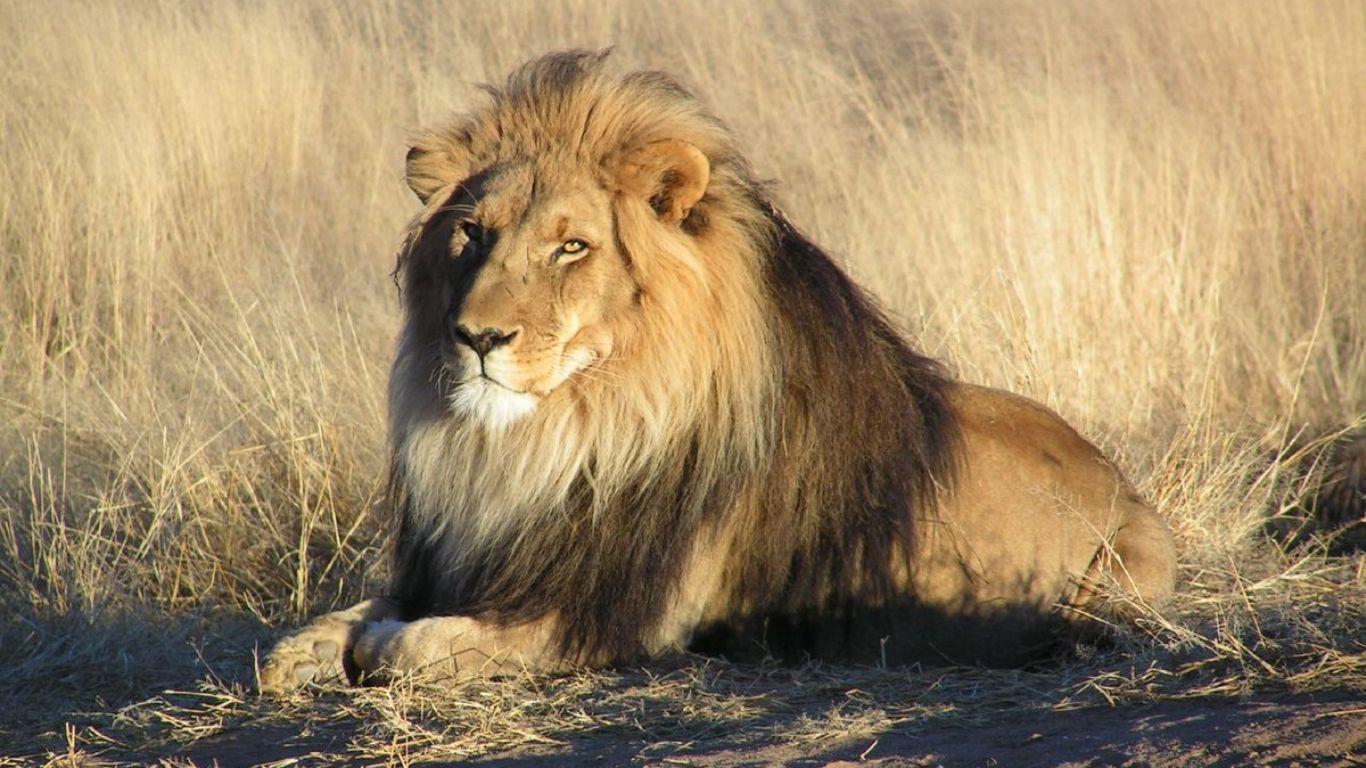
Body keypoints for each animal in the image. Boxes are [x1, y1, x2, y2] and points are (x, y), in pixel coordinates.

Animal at [259, 51, 1177, 693]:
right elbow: (335, 623)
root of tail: (1119, 477)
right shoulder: (469, 563)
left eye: (571, 246)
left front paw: (376, 646)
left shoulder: (614, 616)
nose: (477, 337)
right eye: (472, 234)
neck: (555, 438)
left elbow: (414, 645)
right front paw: (307, 652)